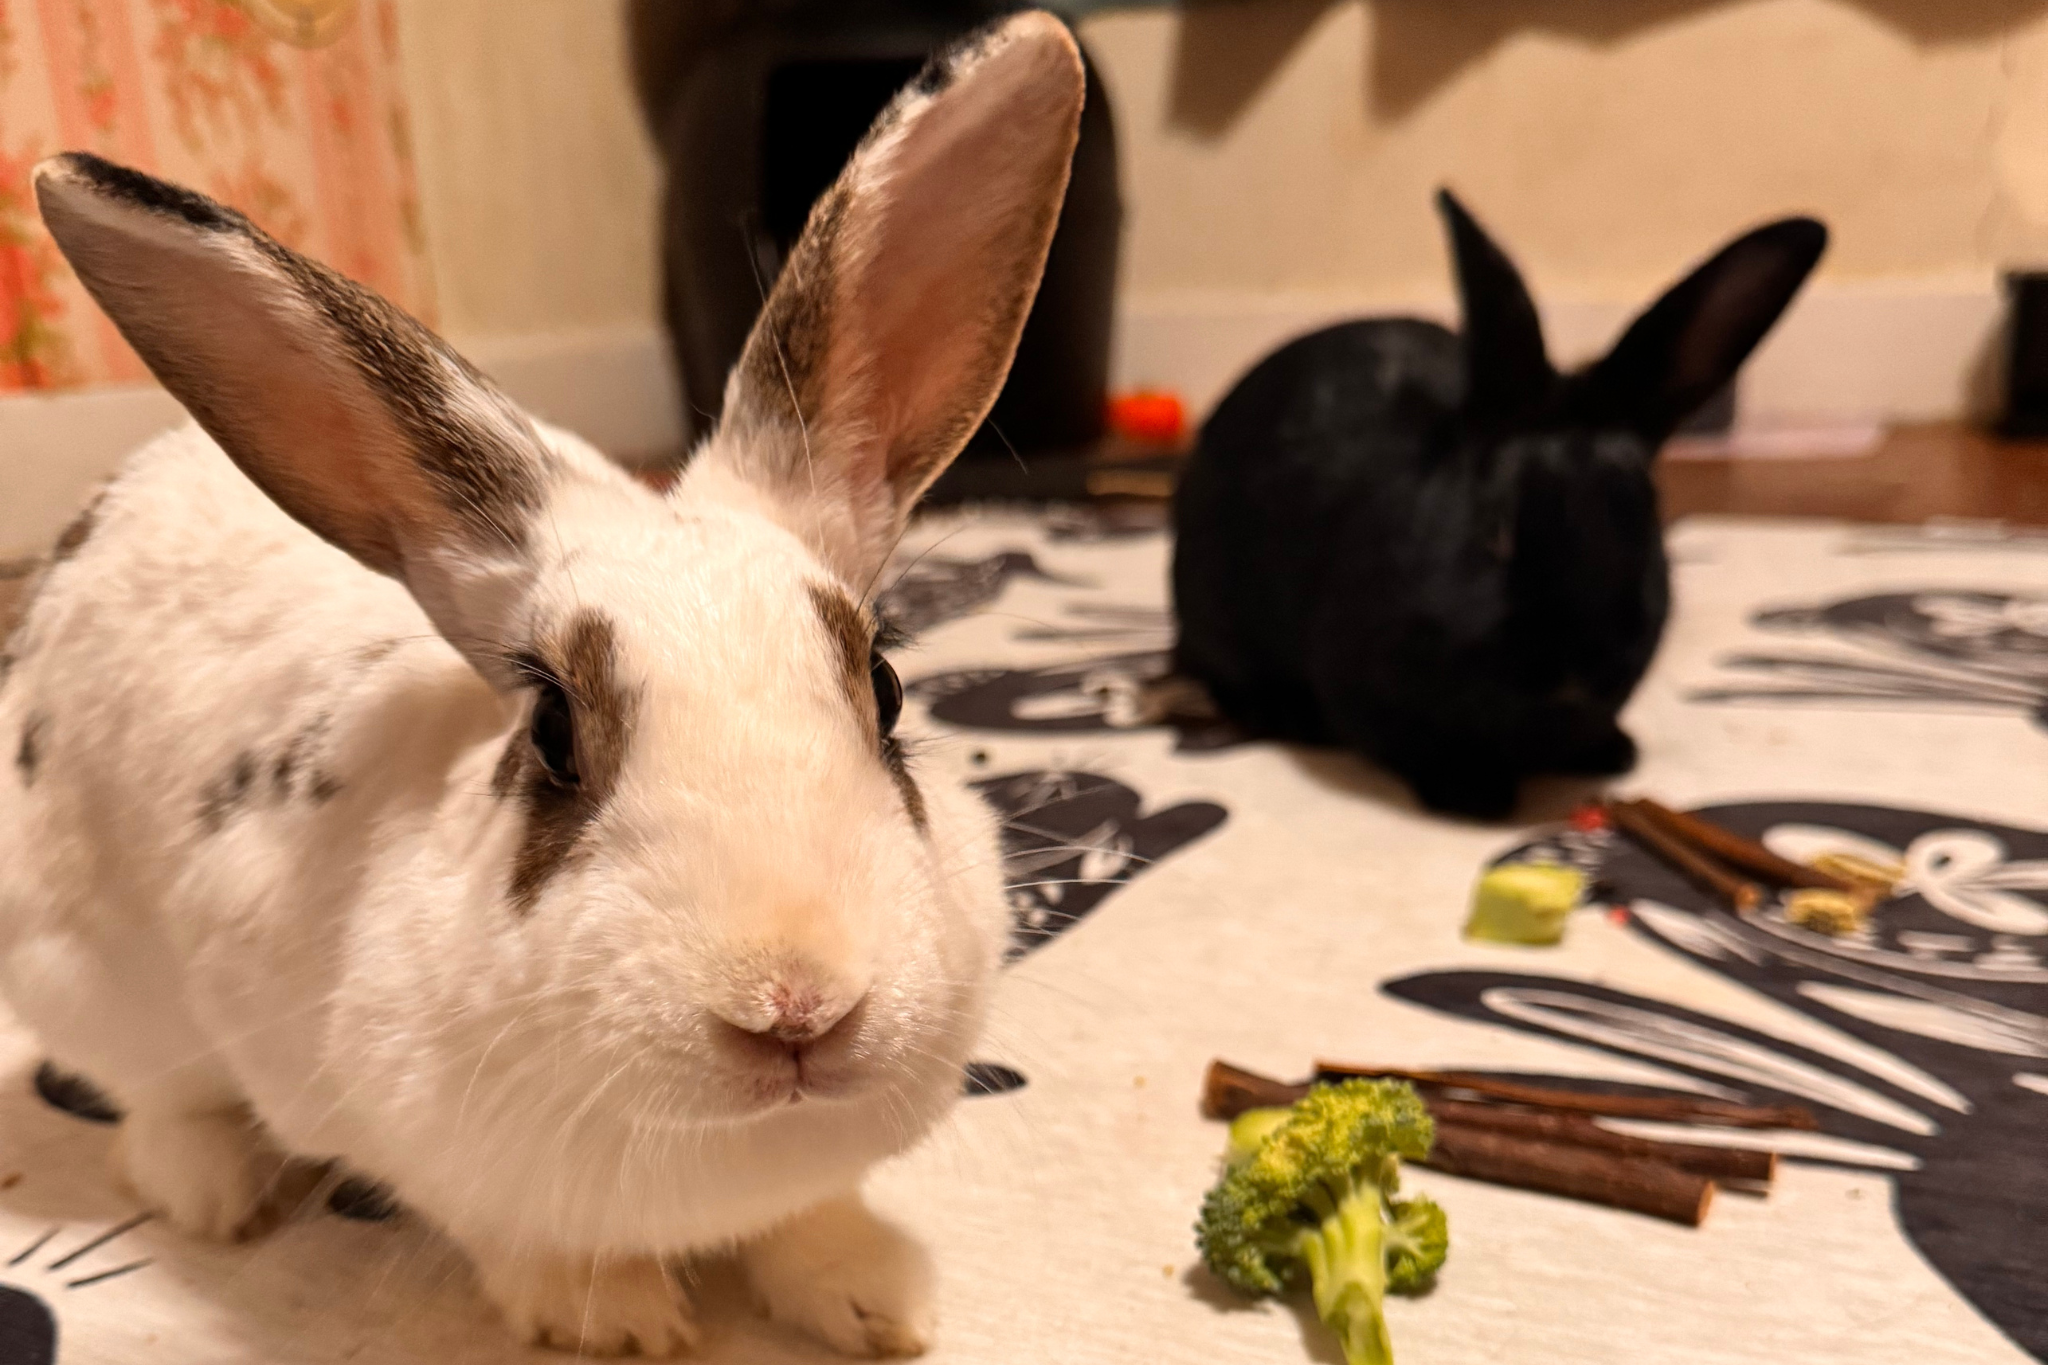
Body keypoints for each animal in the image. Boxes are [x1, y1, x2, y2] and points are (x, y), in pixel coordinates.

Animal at [0, 10, 1089, 1358]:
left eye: (883, 687)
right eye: (554, 731)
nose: (795, 1006)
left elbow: (807, 1221)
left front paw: (874, 1301)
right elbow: (532, 1246)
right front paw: (619, 1322)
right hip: (82, 977)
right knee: (154, 1101)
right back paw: (217, 1193)